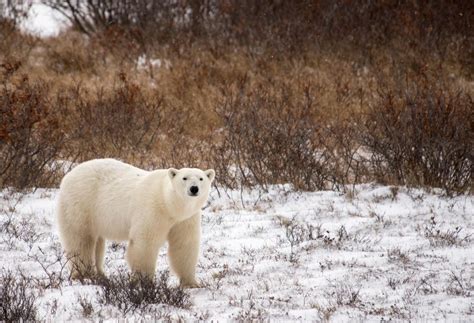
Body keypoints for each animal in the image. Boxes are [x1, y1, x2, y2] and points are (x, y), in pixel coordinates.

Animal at [55, 158, 215, 288]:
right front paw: (144, 282)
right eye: (184, 178)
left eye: (201, 178)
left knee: (97, 244)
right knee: (80, 239)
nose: (194, 188)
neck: (169, 205)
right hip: (81, 203)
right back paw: (84, 275)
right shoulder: (152, 210)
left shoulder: (185, 219)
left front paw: (191, 283)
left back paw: (101, 274)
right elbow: (145, 243)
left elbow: (184, 245)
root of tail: (68, 175)